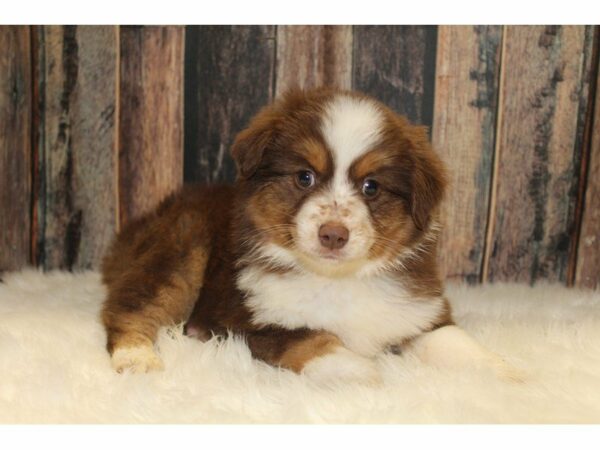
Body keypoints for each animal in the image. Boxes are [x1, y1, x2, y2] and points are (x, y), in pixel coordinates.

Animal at [101, 88, 516, 384]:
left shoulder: (419, 313)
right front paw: (358, 369)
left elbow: (453, 340)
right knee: (129, 308)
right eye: (305, 177)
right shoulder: (246, 320)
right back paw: (136, 359)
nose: (333, 234)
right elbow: (310, 336)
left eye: (371, 187)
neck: (339, 280)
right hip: (182, 248)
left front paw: (504, 369)